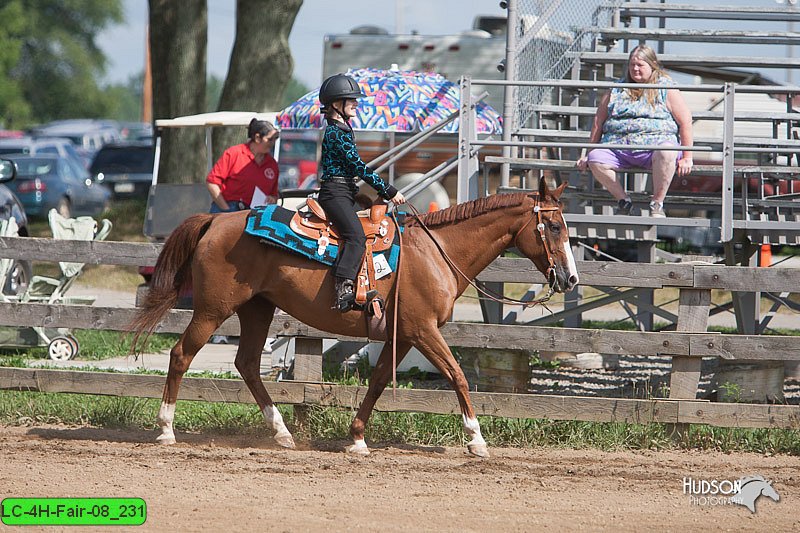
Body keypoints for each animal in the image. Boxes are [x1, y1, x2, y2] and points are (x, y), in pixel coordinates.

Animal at [134, 181, 580, 456]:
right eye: (554, 226)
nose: (570, 278)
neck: (434, 252)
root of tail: (215, 220)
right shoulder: (424, 330)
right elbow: (457, 375)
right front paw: (476, 439)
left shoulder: (403, 335)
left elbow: (380, 381)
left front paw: (357, 438)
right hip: (213, 309)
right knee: (181, 354)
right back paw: (166, 429)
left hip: (257, 308)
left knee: (246, 364)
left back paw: (282, 432)